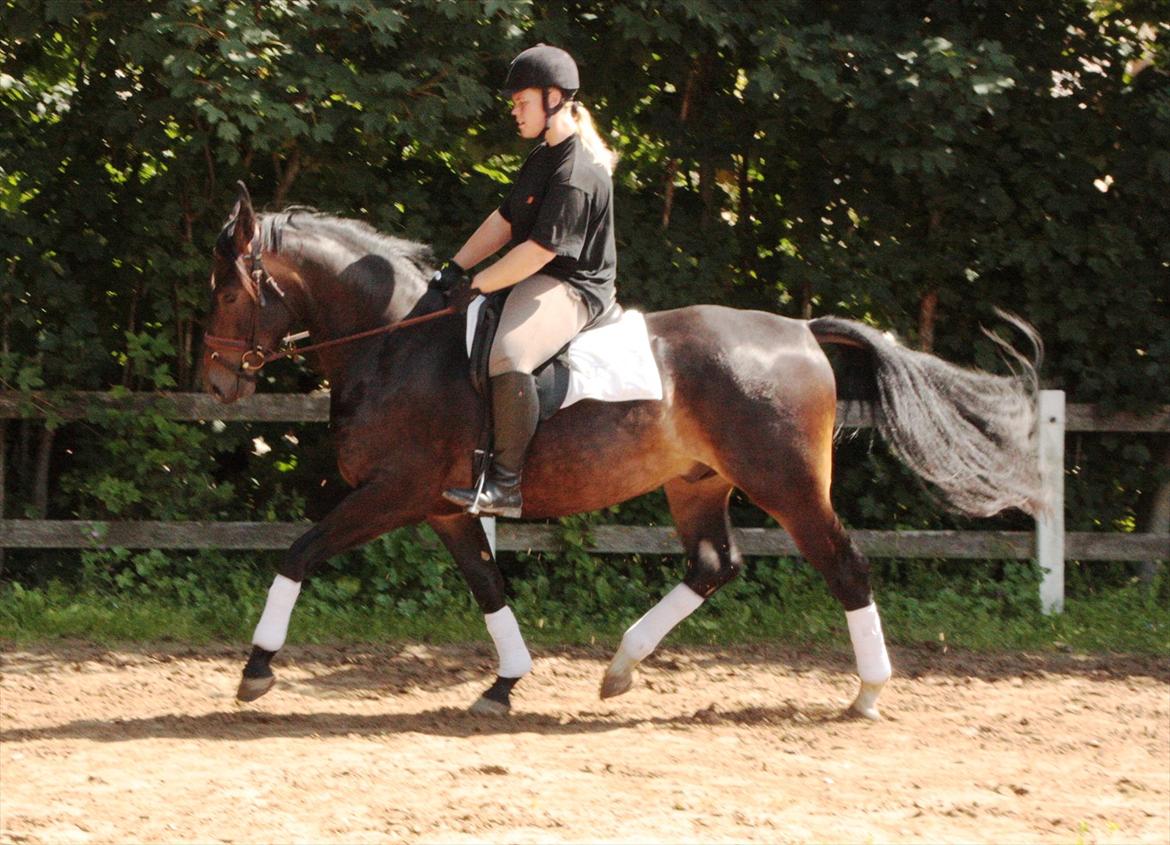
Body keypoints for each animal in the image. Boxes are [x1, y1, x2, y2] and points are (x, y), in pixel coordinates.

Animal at [201, 184, 1043, 716]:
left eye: (230, 292)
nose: (214, 382)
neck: (396, 341)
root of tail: (803, 332)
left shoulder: (394, 491)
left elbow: (299, 552)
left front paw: (256, 668)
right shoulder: (442, 507)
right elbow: (488, 584)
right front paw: (504, 683)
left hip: (788, 485)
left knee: (845, 564)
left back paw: (867, 692)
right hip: (697, 482)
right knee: (714, 564)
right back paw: (621, 666)